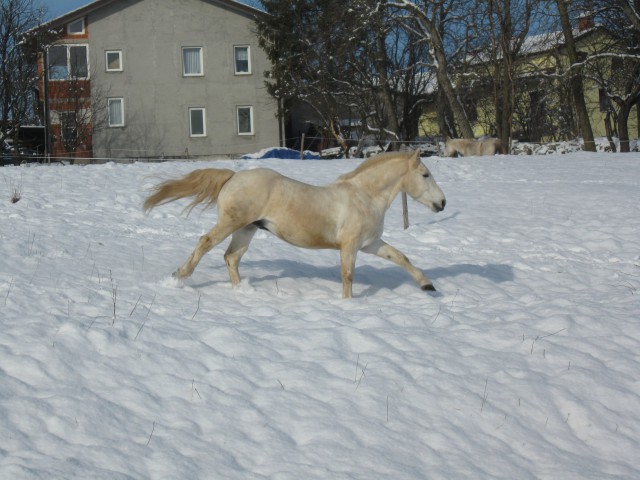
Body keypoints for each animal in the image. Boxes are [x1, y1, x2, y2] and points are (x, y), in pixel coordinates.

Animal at [144, 152, 444, 298]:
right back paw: (179, 276)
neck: (364, 196)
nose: (442, 203)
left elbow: (401, 257)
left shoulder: (370, 244)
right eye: (425, 174)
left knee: (231, 257)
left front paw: (428, 286)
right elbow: (348, 276)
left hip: (246, 229)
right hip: (231, 223)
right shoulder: (349, 246)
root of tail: (233, 177)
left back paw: (242, 292)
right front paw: (347, 304)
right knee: (205, 242)